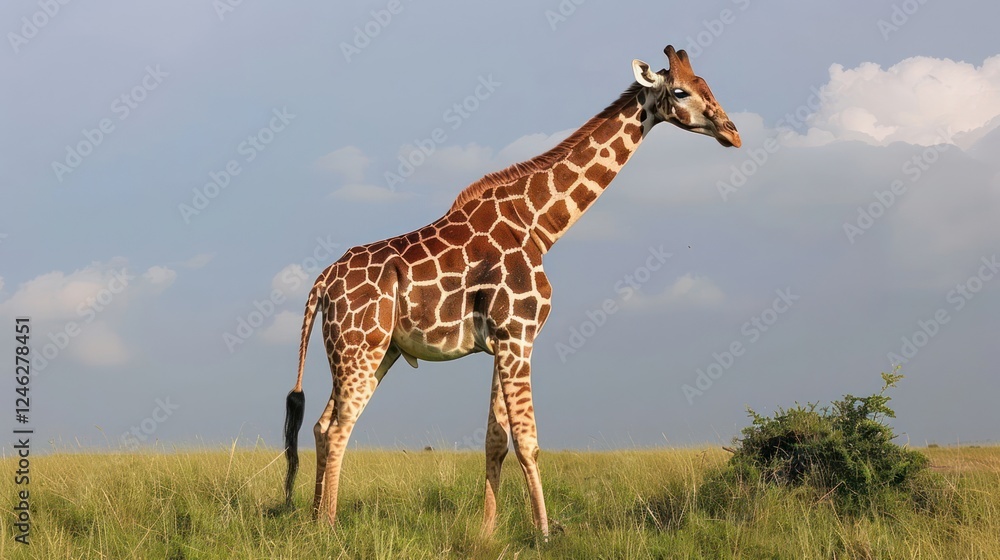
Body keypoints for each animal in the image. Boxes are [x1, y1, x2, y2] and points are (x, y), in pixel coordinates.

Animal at [281, 45, 741, 538]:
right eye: (681, 91)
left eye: (707, 84)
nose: (733, 133)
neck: (540, 224)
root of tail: (322, 283)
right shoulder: (519, 334)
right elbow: (527, 439)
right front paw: (544, 532)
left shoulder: (502, 341)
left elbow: (495, 440)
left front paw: (487, 531)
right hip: (359, 349)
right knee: (339, 427)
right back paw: (328, 525)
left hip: (372, 351)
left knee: (322, 425)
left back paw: (312, 519)